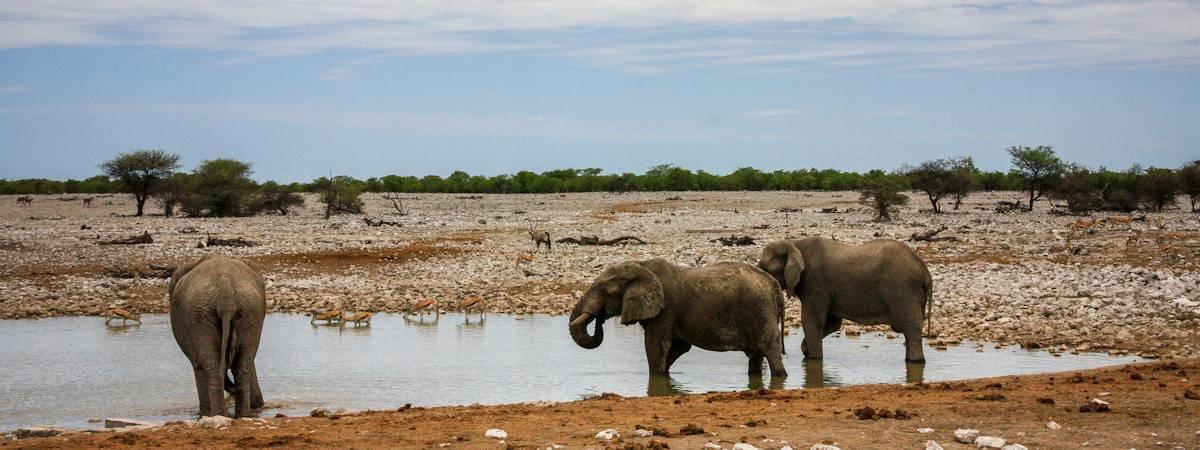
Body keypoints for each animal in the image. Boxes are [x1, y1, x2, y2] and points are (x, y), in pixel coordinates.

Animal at [169, 255, 267, 417]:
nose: (258, 403)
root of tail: (225, 290)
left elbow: (198, 365)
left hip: (199, 314)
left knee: (210, 366)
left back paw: (216, 415)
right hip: (250, 310)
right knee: (244, 364)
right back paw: (243, 416)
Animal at [568, 259, 787, 379]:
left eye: (605, 291)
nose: (600, 317)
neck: (640, 265)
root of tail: (775, 286)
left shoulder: (665, 309)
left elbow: (656, 345)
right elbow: (678, 347)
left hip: (761, 308)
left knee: (770, 349)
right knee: (756, 355)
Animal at [753, 240, 931, 362]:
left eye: (765, 268)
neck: (794, 244)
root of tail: (925, 271)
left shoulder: (815, 282)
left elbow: (811, 320)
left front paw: (813, 359)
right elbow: (833, 323)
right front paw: (806, 351)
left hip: (904, 290)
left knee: (911, 328)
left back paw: (915, 361)